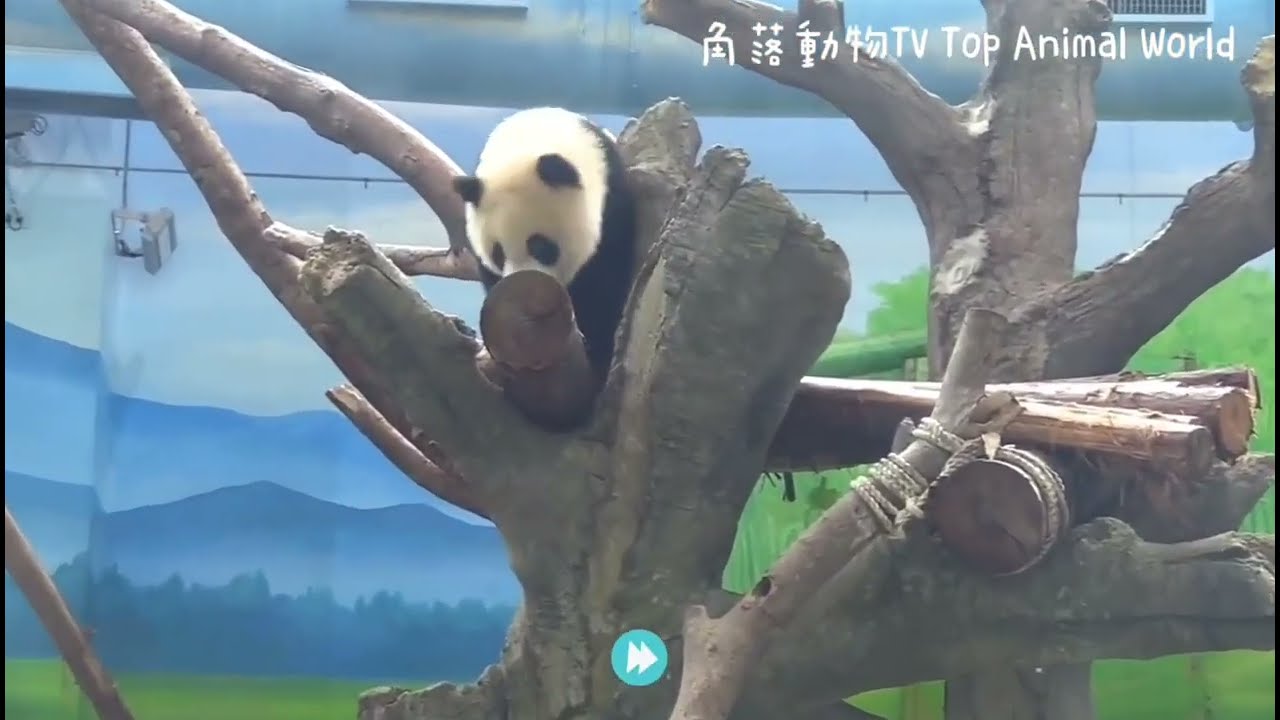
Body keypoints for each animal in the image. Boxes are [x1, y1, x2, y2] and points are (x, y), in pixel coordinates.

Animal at [451, 107, 639, 388]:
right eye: (498, 253)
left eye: (540, 246)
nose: (521, 282)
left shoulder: (612, 208)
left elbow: (604, 284)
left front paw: (597, 349)